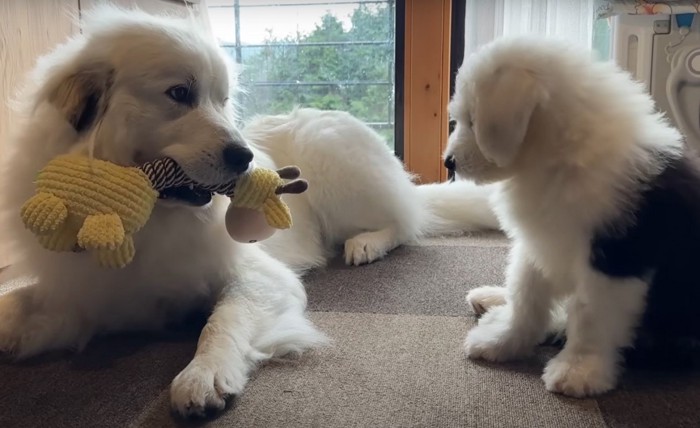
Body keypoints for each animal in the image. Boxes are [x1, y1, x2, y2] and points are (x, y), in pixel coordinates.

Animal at [0, 4, 494, 418]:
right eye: (179, 93)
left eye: (221, 100)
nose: (245, 157)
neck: (146, 221)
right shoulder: (86, 294)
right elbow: (22, 302)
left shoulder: (259, 277)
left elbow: (221, 322)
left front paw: (203, 376)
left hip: (333, 155)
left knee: (404, 222)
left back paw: (367, 243)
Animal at [446, 36, 700, 398]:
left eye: (472, 119)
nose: (448, 162)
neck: (560, 154)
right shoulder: (539, 241)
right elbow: (526, 295)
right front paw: (502, 341)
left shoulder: (612, 258)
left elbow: (590, 313)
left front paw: (579, 370)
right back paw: (492, 301)